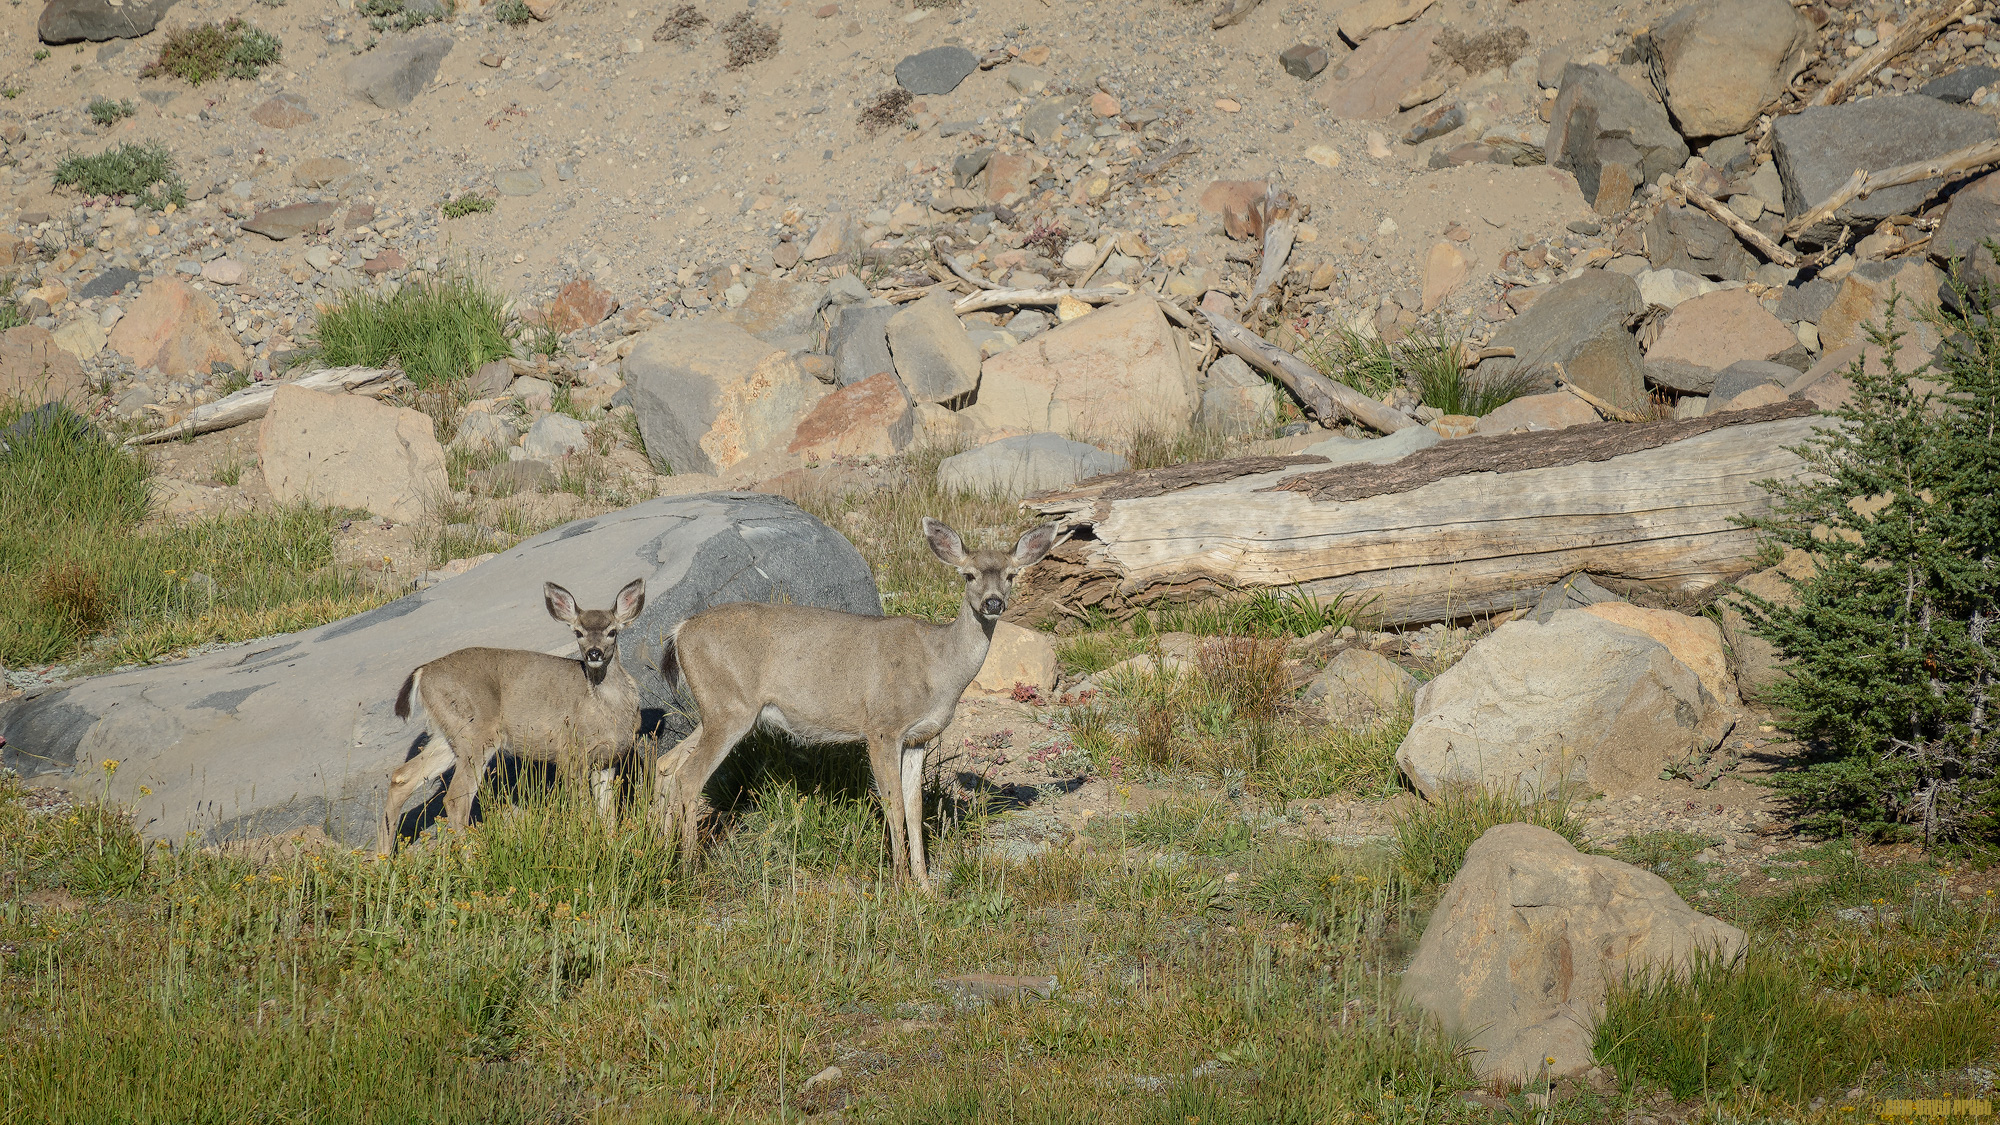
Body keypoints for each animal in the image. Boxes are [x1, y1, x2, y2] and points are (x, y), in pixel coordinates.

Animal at [378, 578, 647, 854]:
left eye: (612, 631)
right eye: (578, 632)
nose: (594, 653)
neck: (607, 711)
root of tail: (422, 673)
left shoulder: (608, 759)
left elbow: (607, 812)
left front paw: (611, 846)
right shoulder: (571, 752)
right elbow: (582, 807)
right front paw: (585, 845)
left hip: (448, 736)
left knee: (402, 777)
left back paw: (384, 857)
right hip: (477, 733)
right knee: (454, 798)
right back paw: (471, 857)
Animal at [652, 518, 1058, 888]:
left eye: (1012, 575)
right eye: (968, 575)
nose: (994, 602)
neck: (938, 667)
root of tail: (679, 631)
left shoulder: (919, 737)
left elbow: (915, 807)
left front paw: (925, 885)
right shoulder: (882, 727)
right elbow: (894, 804)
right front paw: (901, 882)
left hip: (719, 709)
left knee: (667, 763)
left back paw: (660, 852)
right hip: (730, 709)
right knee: (689, 776)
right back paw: (689, 869)